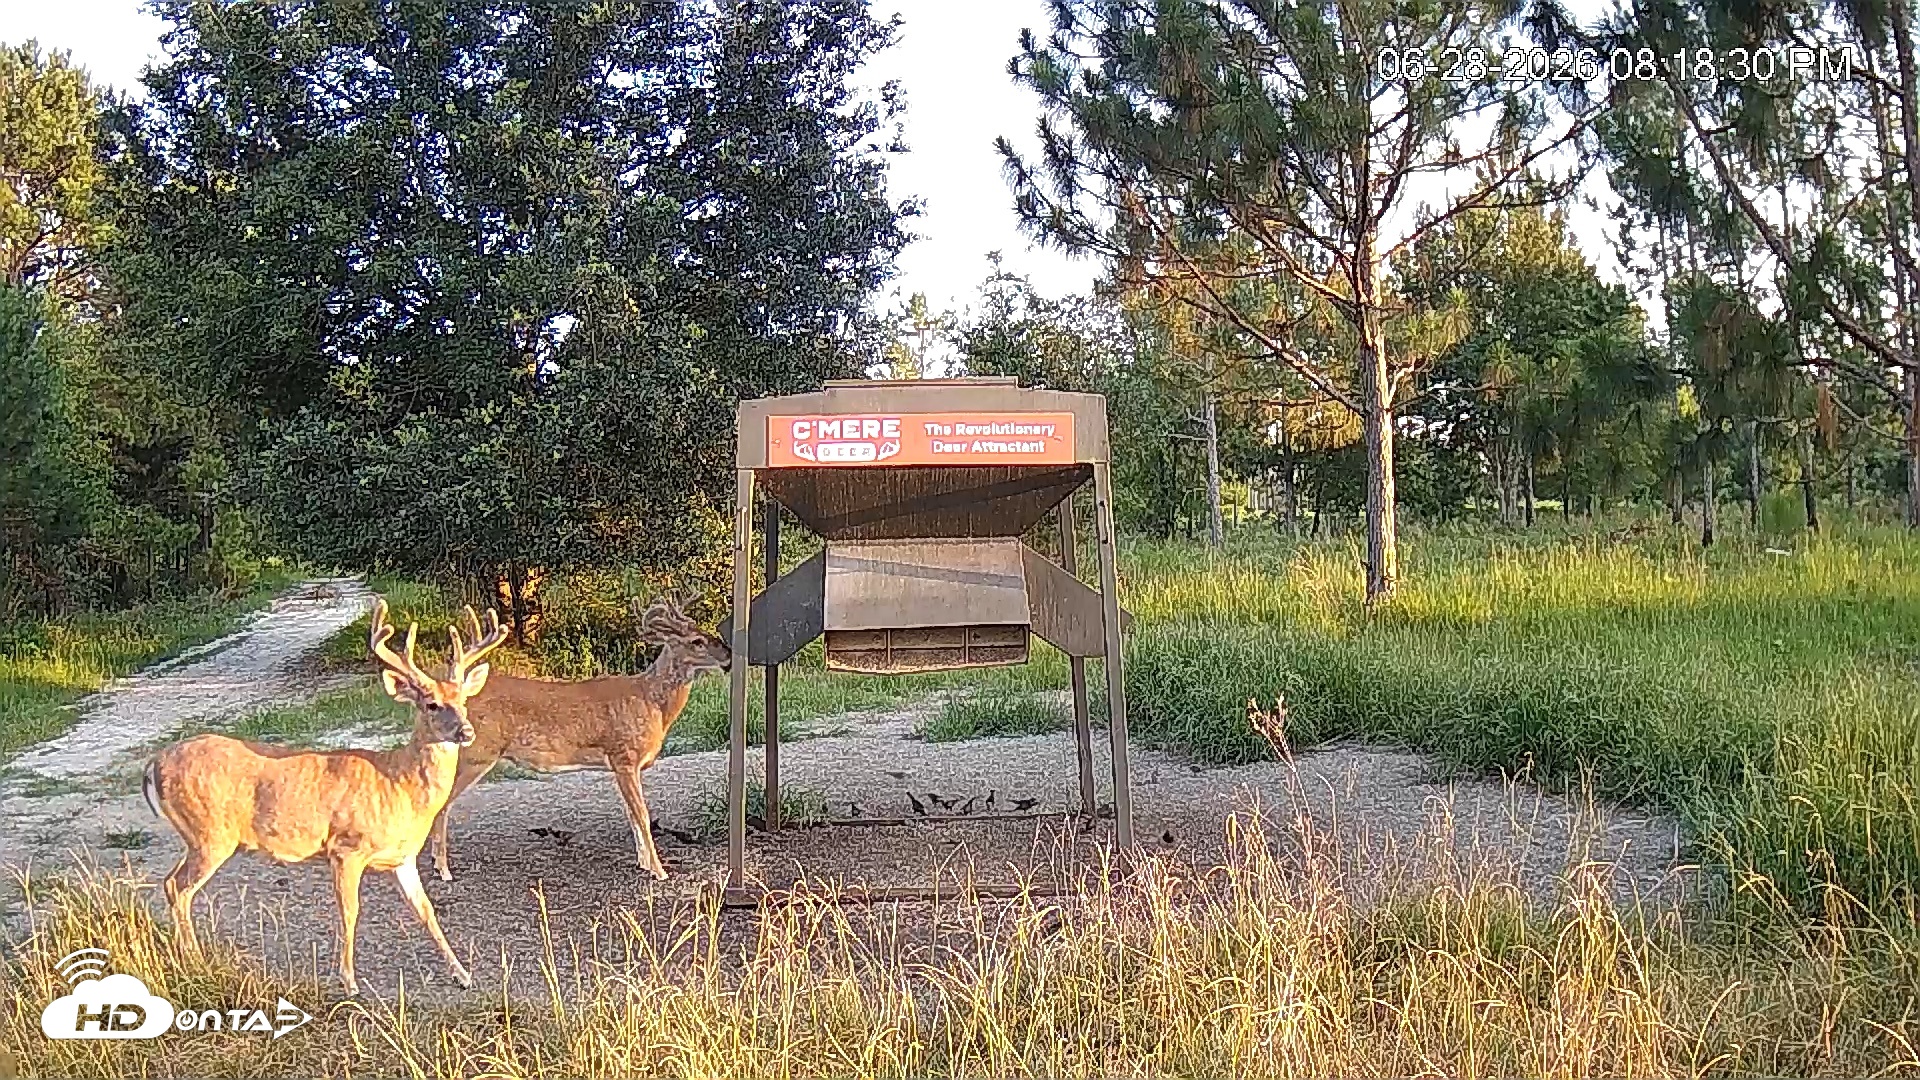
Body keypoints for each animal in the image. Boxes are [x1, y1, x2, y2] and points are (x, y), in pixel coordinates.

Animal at [143, 598, 508, 996]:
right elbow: (350, 912)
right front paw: (349, 982)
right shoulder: (345, 848)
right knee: (180, 888)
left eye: (464, 701)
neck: (398, 785)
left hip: (196, 837)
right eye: (431, 704)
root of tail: (153, 764)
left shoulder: (403, 858)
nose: (466, 731)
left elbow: (426, 911)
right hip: (211, 834)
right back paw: (196, 960)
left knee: (169, 882)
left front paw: (462, 973)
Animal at [428, 595, 731, 883]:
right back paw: (443, 869)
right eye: (697, 641)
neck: (652, 702)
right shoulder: (624, 756)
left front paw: (644, 864)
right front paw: (659, 870)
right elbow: (642, 815)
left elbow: (632, 816)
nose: (728, 655)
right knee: (441, 804)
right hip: (476, 753)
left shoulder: (622, 765)